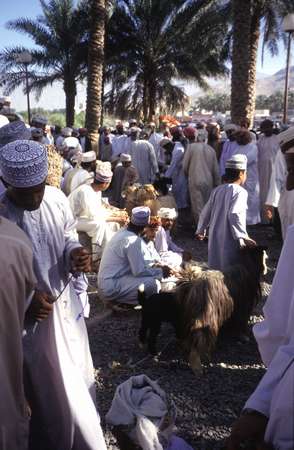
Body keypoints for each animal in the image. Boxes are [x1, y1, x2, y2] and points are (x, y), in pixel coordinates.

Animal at [138, 246, 266, 370]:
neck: (246, 265)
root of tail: (192, 283)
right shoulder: (243, 306)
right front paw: (242, 335)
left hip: (183, 315)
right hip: (204, 315)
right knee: (199, 335)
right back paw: (199, 361)